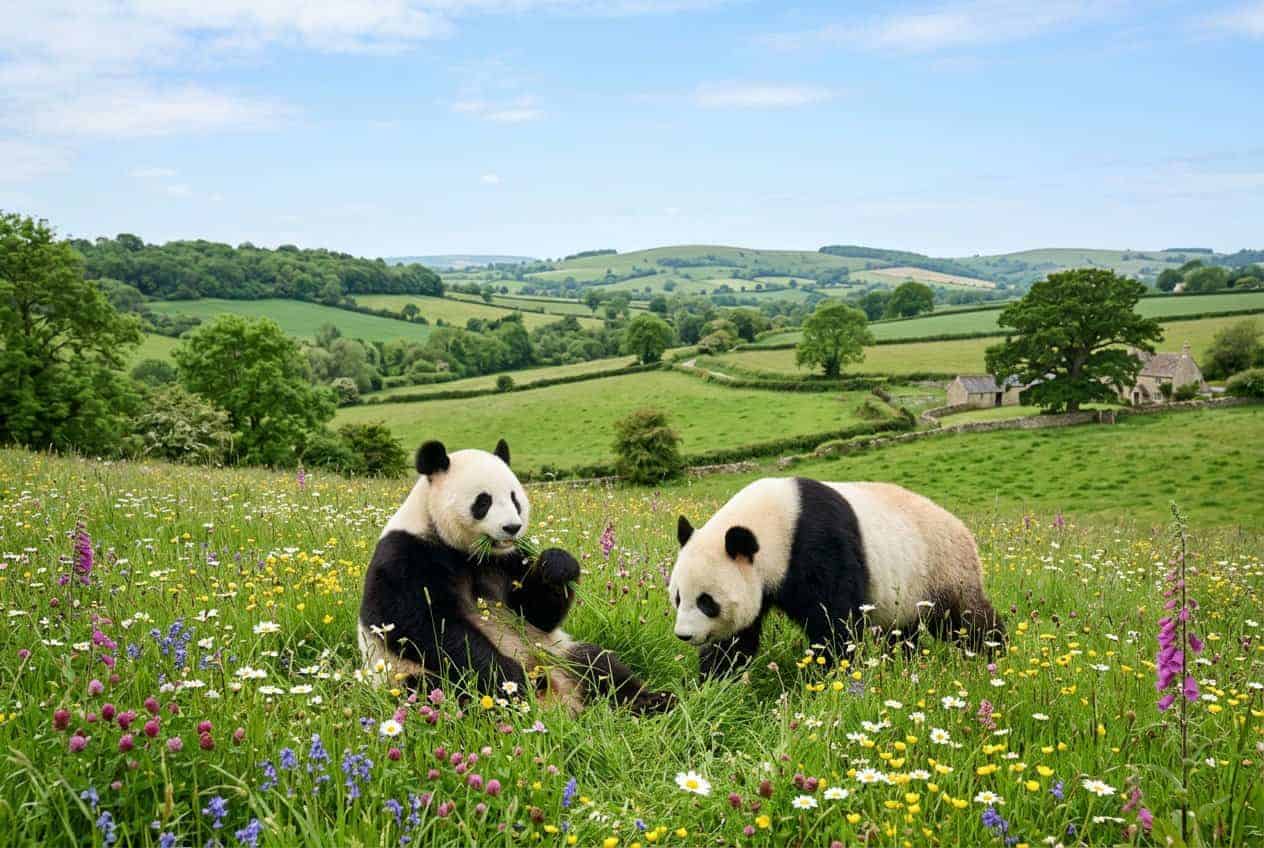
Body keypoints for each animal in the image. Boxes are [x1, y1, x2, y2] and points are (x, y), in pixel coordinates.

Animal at [359, 439, 673, 714]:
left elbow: (535, 612)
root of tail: (563, 702)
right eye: (483, 501)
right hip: (407, 676)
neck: (466, 551)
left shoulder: (509, 559)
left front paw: (557, 565)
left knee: (597, 664)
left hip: (555, 652)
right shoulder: (406, 555)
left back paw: (654, 702)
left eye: (514, 498)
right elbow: (422, 624)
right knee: (438, 689)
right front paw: (511, 677)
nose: (512, 527)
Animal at [669, 477, 1003, 678]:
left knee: (963, 619)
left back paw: (994, 650)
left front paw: (826, 677)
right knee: (902, 632)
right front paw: (716, 680)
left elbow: (834, 621)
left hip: (941, 568)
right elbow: (736, 640)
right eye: (678, 598)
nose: (683, 635)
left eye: (707, 602)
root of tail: (963, 529)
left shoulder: (818, 547)